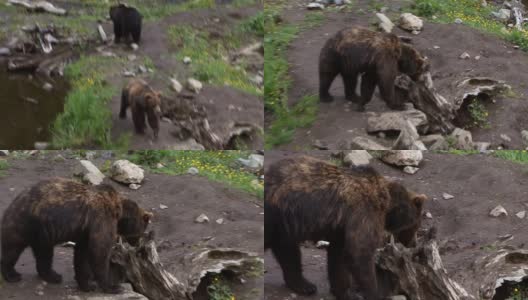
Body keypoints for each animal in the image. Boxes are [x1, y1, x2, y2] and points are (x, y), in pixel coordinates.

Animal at [0, 178, 153, 292]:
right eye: (141, 231)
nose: (137, 243)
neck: (119, 212)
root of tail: (14, 201)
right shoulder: (102, 218)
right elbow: (99, 250)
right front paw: (112, 287)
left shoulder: (86, 230)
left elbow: (82, 254)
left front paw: (86, 285)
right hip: (25, 223)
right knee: (12, 249)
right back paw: (12, 275)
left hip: (43, 233)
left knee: (44, 253)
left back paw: (53, 275)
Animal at [266, 156, 426, 298]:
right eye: (416, 226)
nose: (412, 243)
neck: (388, 204)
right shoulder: (364, 211)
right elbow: (359, 251)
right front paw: (372, 292)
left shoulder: (341, 228)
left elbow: (338, 256)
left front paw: (344, 292)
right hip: (278, 214)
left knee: (287, 250)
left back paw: (304, 285)